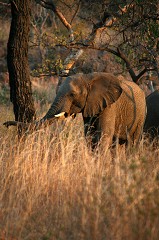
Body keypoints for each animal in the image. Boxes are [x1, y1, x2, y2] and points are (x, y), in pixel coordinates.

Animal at [3, 72, 146, 149]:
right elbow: (89, 135)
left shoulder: (110, 107)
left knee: (132, 142)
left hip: (140, 116)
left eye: (72, 94)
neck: (88, 78)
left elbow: (103, 135)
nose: (5, 124)